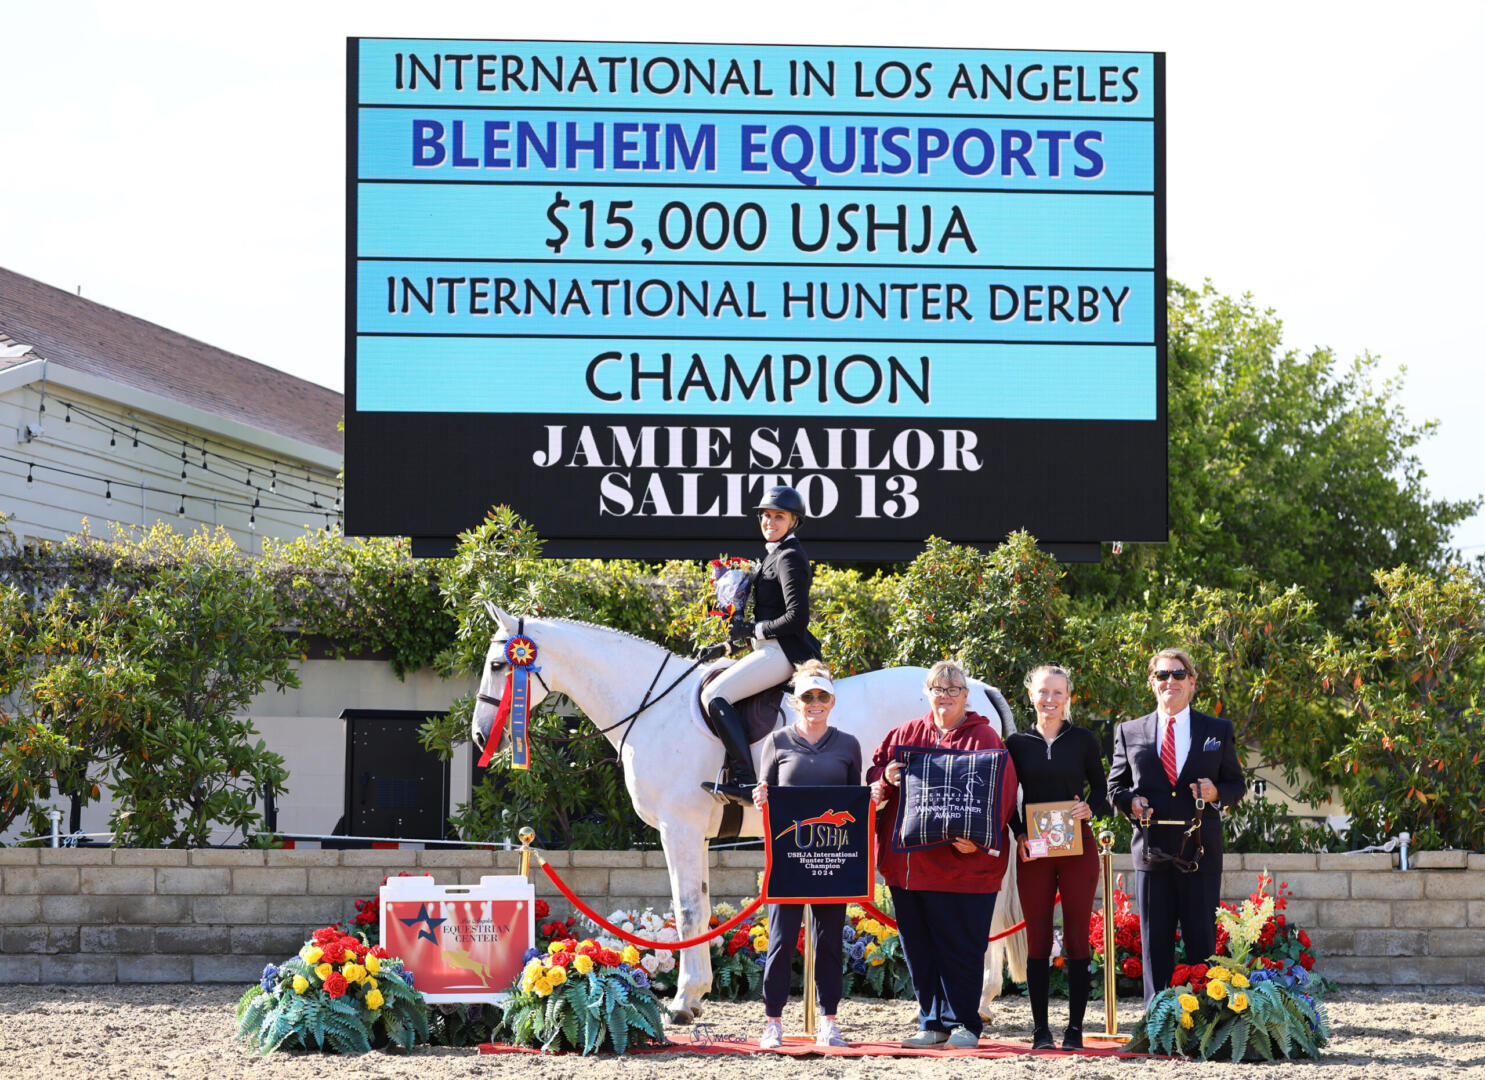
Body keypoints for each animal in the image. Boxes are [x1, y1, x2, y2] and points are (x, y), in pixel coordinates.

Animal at [469, 609, 1027, 1022]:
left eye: (499, 664)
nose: (477, 736)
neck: (653, 708)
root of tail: (977, 688)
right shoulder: (693, 832)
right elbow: (699, 908)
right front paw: (696, 995)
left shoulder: (679, 828)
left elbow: (687, 909)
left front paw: (682, 1002)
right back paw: (977, 1002)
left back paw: (970, 1002)